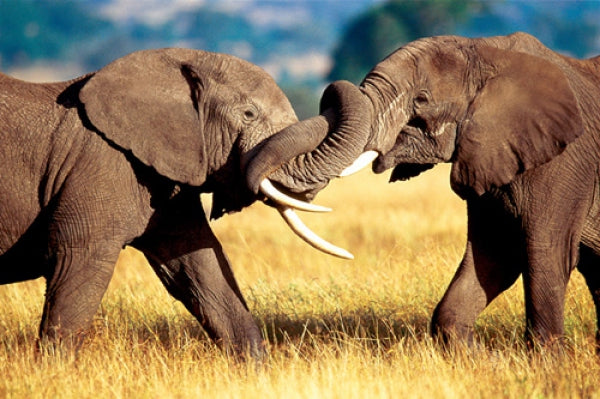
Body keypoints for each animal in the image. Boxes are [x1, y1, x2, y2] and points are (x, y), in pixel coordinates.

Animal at [0, 47, 360, 360]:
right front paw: (55, 370)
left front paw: (257, 373)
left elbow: (200, 266)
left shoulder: (167, 176)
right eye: (248, 114)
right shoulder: (100, 165)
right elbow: (79, 265)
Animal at [248, 33, 600, 350]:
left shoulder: (564, 163)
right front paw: (474, 360)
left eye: (421, 100)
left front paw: (546, 362)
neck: (489, 50)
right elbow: (494, 257)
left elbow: (546, 254)